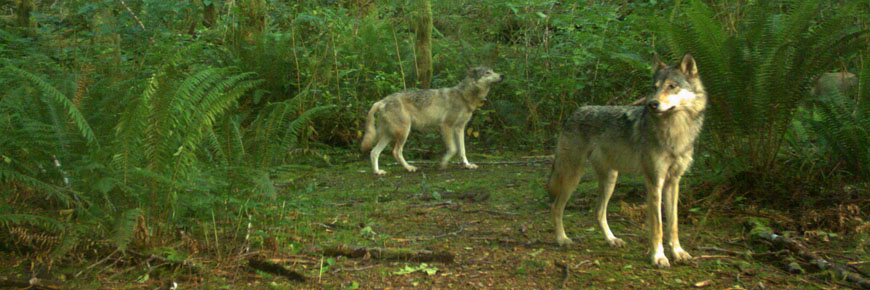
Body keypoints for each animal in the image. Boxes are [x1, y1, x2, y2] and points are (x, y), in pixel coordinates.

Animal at [360, 66, 504, 174]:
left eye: (493, 70)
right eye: (487, 72)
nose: (502, 75)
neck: (464, 96)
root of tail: (382, 101)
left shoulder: (460, 128)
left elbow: (462, 150)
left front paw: (467, 165)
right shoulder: (446, 126)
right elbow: (453, 149)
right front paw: (443, 163)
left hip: (389, 135)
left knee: (374, 152)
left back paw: (378, 172)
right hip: (404, 132)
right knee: (396, 152)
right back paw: (409, 168)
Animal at [552, 53, 708, 268]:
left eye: (672, 86)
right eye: (654, 87)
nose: (652, 104)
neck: (675, 130)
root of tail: (572, 114)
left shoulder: (674, 182)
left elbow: (673, 223)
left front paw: (677, 252)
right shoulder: (654, 182)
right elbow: (658, 226)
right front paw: (658, 257)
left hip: (610, 179)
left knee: (598, 212)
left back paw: (611, 240)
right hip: (572, 177)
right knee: (556, 207)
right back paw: (562, 239)